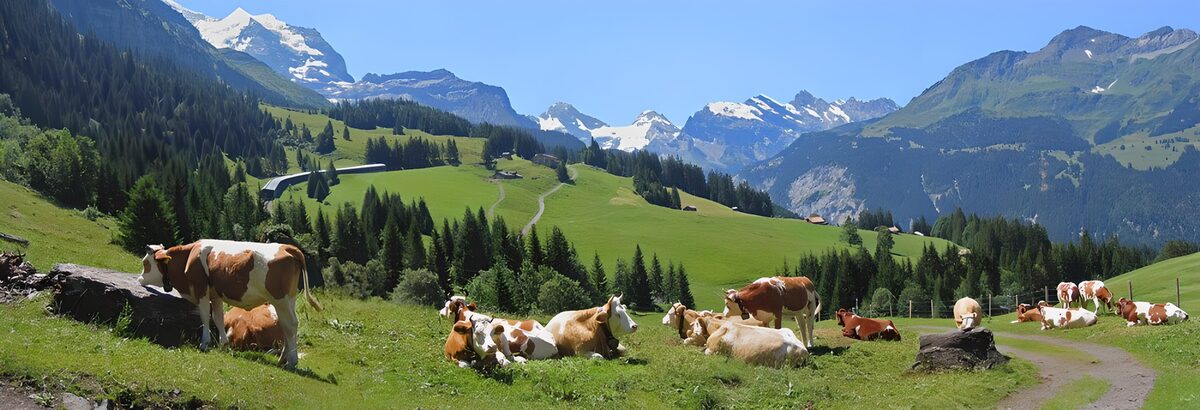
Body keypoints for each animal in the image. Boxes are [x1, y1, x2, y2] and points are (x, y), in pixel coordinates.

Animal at [139, 240, 322, 368]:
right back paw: (282, 359)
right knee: (287, 326)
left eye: (145, 263)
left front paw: (205, 343)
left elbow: (204, 315)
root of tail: (288, 247)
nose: (140, 279)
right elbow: (218, 317)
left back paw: (292, 361)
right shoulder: (216, 294)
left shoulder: (201, 289)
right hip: (288, 300)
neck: (189, 256)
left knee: (291, 325)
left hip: (280, 299)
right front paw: (223, 344)